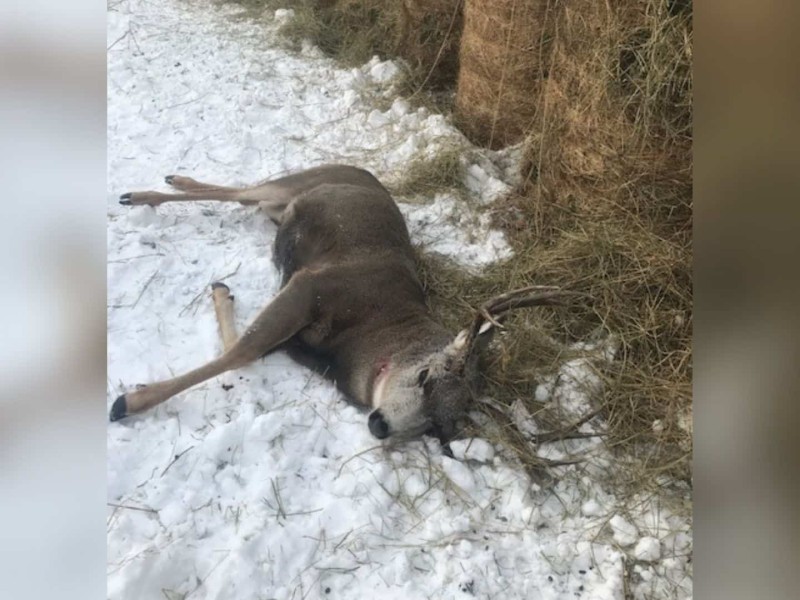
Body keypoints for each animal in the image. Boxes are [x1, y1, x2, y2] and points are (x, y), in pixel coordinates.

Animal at [110, 164, 577, 445]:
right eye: (426, 377)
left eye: (438, 429)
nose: (380, 424)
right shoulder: (312, 286)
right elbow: (241, 352)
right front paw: (128, 401)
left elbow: (244, 351)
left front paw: (222, 292)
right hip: (294, 185)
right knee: (246, 191)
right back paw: (146, 191)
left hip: (277, 207)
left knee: (245, 197)